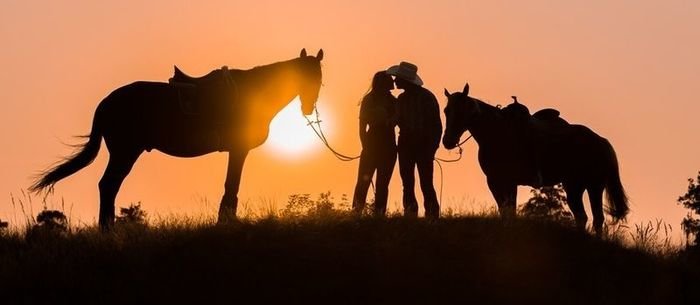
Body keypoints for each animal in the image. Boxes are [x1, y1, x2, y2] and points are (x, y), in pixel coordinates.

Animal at [30, 48, 326, 228]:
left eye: (319, 80)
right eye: (306, 77)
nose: (308, 108)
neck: (253, 93)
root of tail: (106, 102)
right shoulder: (239, 149)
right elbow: (231, 187)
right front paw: (225, 222)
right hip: (126, 152)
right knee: (108, 185)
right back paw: (107, 229)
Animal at [442, 83, 628, 235]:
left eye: (462, 111)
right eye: (446, 111)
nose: (447, 141)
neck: (499, 133)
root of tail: (601, 141)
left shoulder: (508, 182)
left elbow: (510, 212)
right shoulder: (495, 182)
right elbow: (505, 212)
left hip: (591, 186)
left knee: (594, 218)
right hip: (579, 186)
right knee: (586, 217)